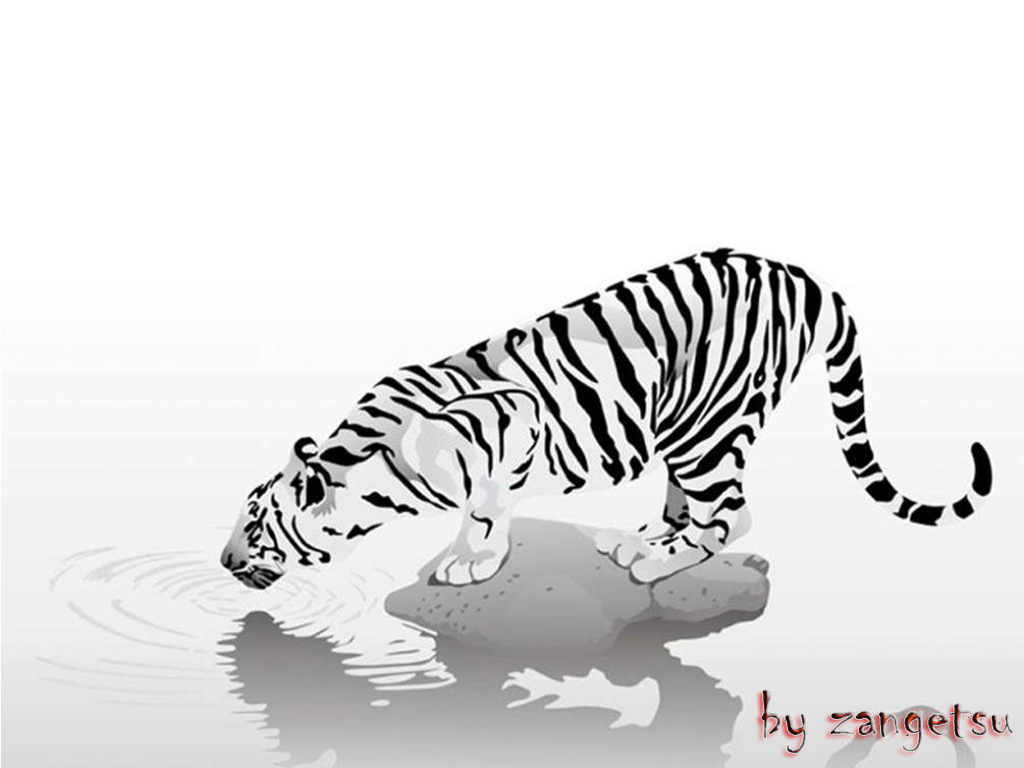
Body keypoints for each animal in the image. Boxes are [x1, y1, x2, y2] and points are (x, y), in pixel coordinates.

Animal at [220, 248, 992, 589]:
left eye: (256, 527)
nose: (224, 561)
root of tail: (795, 272)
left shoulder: (512, 420)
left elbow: (487, 508)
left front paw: (473, 561)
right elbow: (485, 506)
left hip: (708, 427)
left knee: (731, 515)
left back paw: (657, 559)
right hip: (686, 426)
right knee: (694, 501)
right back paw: (644, 534)